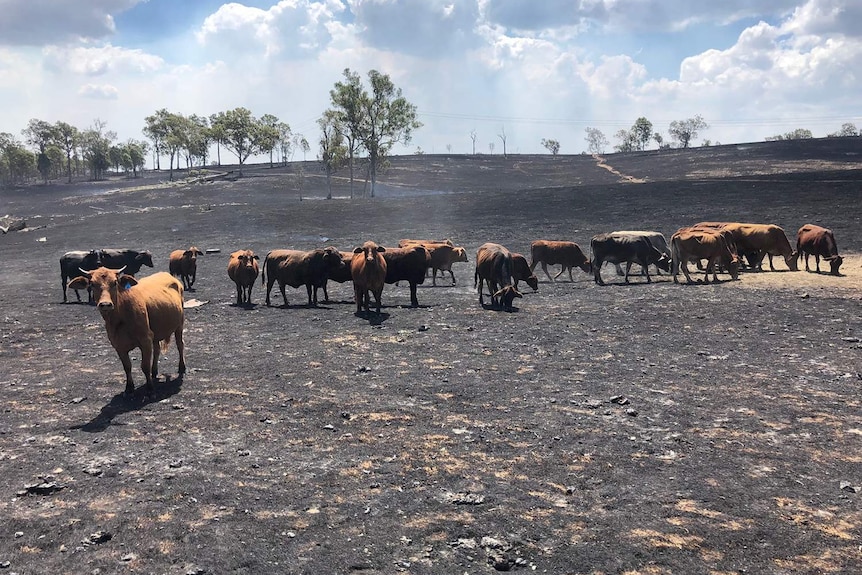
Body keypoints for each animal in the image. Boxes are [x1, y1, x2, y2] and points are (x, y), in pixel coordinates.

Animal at [68, 266, 186, 396]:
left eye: (115, 282)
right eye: (92, 284)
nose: (105, 304)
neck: (120, 317)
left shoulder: (145, 340)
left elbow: (145, 366)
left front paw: (150, 388)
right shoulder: (118, 345)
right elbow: (127, 367)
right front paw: (129, 387)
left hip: (179, 324)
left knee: (180, 345)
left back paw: (181, 367)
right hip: (155, 333)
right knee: (157, 350)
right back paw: (154, 371)